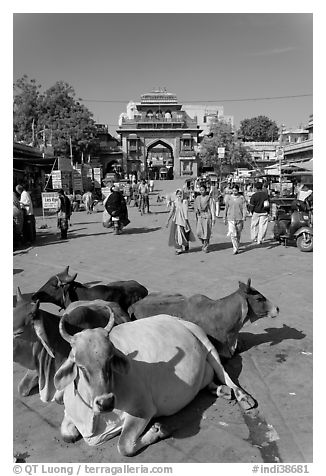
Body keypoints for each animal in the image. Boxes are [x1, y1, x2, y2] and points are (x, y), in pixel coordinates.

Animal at [54, 306, 258, 456]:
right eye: (80, 366)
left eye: (111, 359)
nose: (106, 402)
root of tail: (175, 318)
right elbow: (67, 434)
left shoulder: (143, 410)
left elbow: (124, 445)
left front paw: (158, 430)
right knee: (210, 380)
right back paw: (220, 390)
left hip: (206, 343)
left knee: (224, 373)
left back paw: (242, 396)